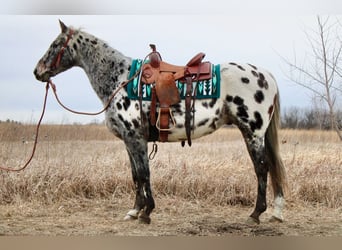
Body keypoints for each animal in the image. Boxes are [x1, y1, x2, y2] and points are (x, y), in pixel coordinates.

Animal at [34, 21, 286, 225]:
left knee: (262, 168)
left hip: (252, 132)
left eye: (56, 44)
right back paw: (275, 212)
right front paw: (135, 211)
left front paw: (146, 213)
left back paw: (256, 214)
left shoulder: (135, 138)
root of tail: (266, 75)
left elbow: (144, 173)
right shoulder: (129, 141)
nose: (37, 72)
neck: (121, 80)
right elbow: (135, 175)